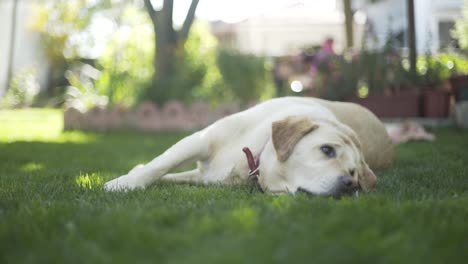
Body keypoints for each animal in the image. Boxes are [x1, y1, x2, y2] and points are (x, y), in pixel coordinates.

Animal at [104, 97, 394, 196]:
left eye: (355, 172)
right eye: (327, 150)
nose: (351, 184)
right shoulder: (200, 140)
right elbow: (160, 166)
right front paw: (124, 182)